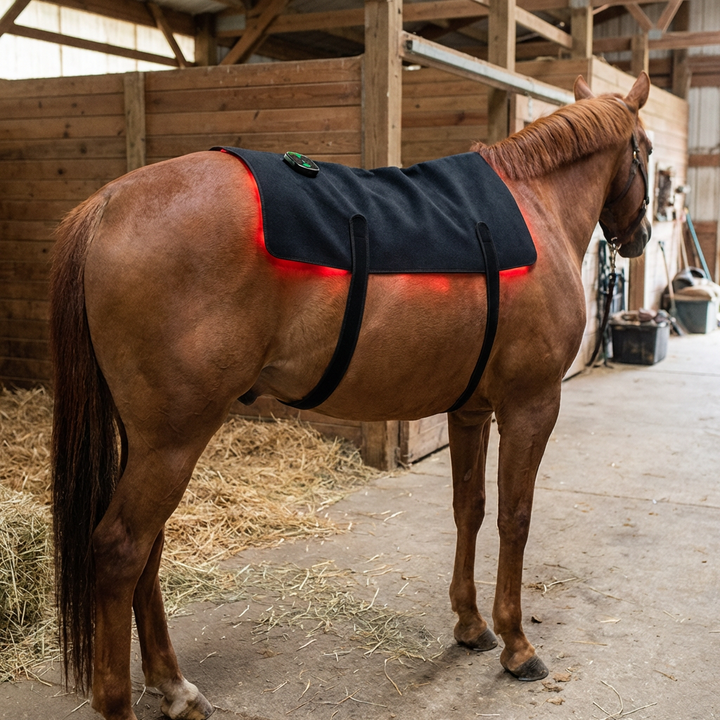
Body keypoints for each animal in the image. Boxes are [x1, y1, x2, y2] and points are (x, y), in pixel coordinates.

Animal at [49, 72, 652, 720]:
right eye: (647, 154)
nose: (639, 236)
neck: (535, 207)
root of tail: (110, 203)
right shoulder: (531, 406)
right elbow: (515, 518)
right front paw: (516, 645)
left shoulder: (471, 410)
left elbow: (469, 509)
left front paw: (470, 625)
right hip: (173, 440)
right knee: (120, 551)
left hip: (149, 441)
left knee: (149, 551)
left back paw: (174, 686)